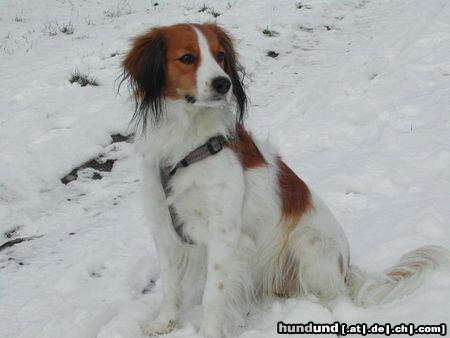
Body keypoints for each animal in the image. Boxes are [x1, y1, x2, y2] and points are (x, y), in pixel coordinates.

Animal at [120, 22, 450, 336]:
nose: (224, 83)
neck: (187, 144)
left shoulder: (223, 234)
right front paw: (164, 323)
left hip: (310, 242)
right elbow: (170, 287)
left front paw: (210, 333)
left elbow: (214, 296)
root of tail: (346, 268)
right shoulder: (164, 228)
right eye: (188, 58)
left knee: (335, 295)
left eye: (220, 55)